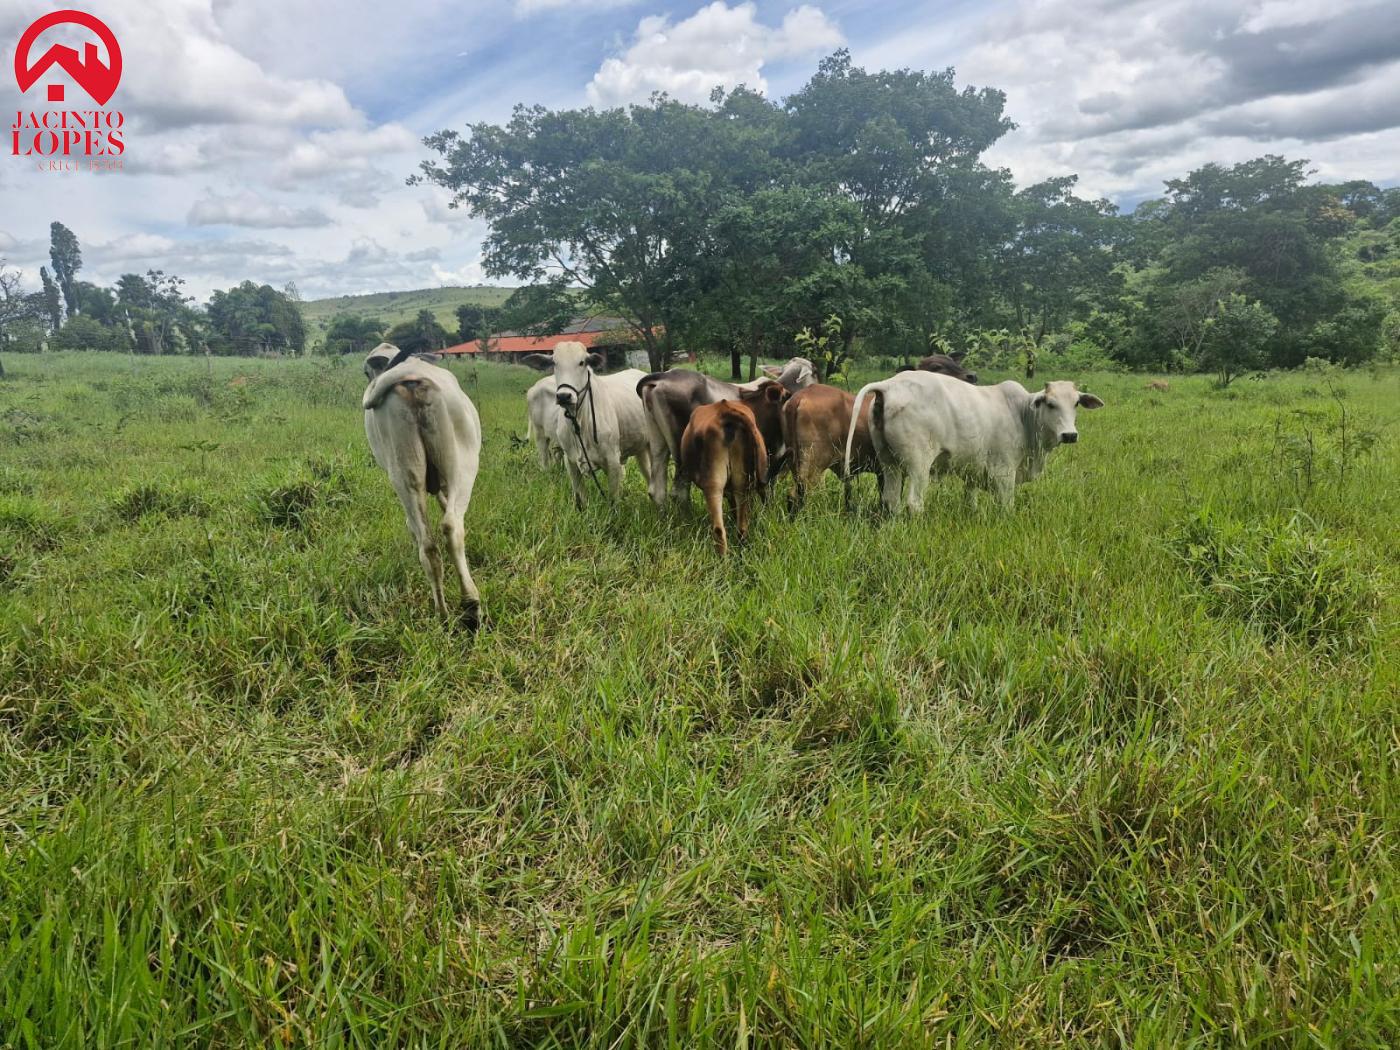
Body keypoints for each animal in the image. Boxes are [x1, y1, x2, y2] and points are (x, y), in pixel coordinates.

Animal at [364, 345, 484, 630]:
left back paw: (447, 613)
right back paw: (469, 606)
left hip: (405, 471)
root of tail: (410, 378)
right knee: (449, 528)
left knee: (430, 541)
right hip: (462, 463)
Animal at [523, 341, 652, 509]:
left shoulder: (613, 462)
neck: (580, 423)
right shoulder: (570, 461)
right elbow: (581, 498)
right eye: (555, 363)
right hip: (540, 437)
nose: (564, 396)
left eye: (582, 362)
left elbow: (613, 501)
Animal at [840, 375, 1103, 515]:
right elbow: (1006, 504)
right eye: (1050, 403)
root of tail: (889, 385)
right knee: (914, 503)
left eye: (1076, 403)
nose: (1070, 435)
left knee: (891, 499)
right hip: (918, 463)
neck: (1023, 414)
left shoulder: (973, 471)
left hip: (889, 462)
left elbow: (970, 499)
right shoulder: (1004, 471)